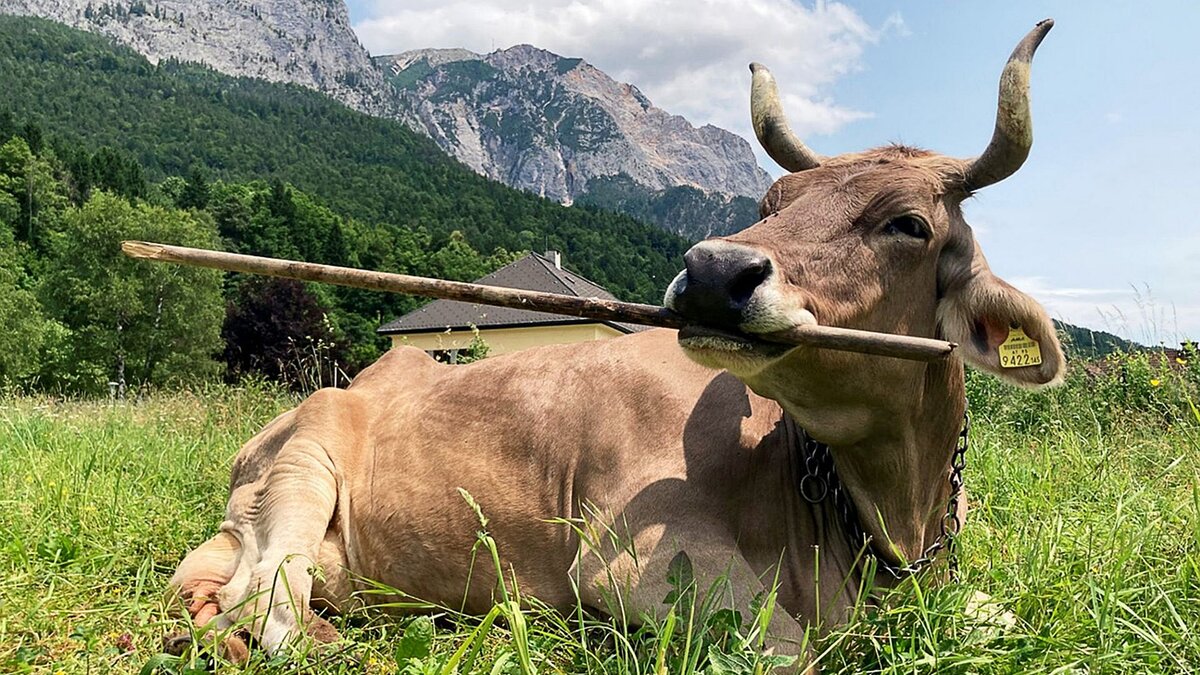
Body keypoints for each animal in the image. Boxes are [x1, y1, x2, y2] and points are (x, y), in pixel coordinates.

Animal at [166, 20, 1064, 668]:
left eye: (908, 224)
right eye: (772, 199)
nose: (713, 270)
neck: (887, 519)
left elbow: (1014, 616)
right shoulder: (636, 562)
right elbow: (791, 652)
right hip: (304, 462)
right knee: (267, 599)